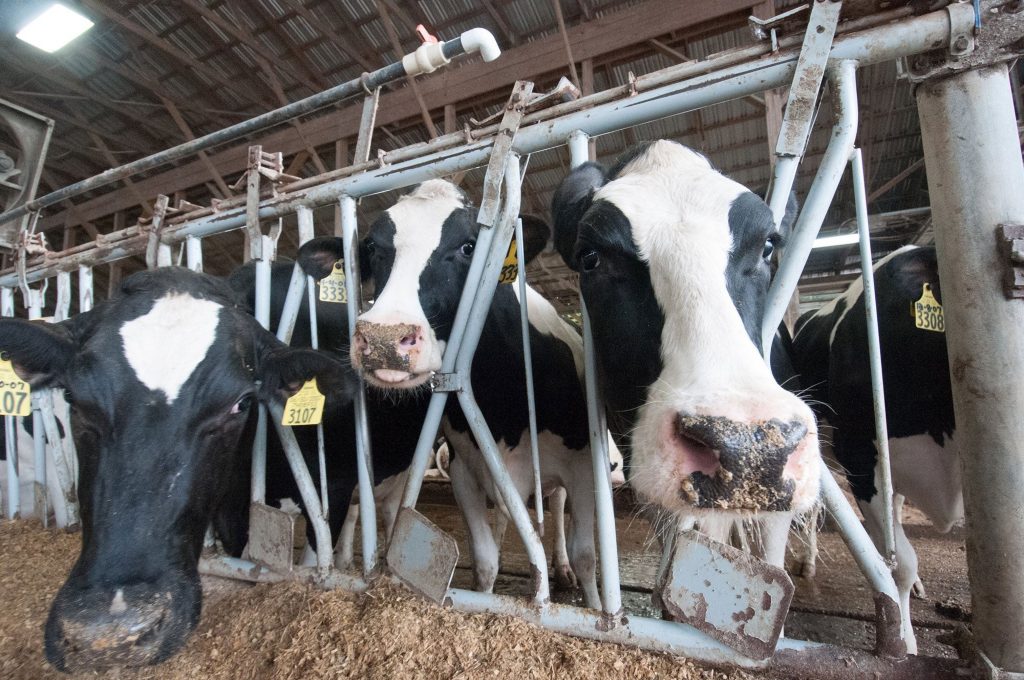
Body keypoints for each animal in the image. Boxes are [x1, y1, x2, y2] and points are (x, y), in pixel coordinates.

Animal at [346, 179, 598, 606]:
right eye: (374, 247)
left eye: (467, 246)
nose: (383, 339)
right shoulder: (465, 470)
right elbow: (485, 560)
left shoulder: (581, 467)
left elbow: (587, 558)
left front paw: (599, 607)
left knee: (557, 506)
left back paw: (561, 567)